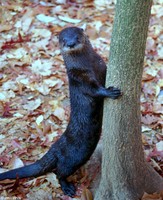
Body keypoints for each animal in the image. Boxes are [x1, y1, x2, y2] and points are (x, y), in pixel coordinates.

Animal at [0, 27, 121, 197]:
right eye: (64, 40)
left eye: (76, 37)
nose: (70, 43)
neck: (90, 66)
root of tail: (55, 150)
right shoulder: (79, 77)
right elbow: (94, 89)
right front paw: (110, 92)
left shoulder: (101, 66)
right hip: (73, 158)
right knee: (59, 172)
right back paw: (67, 188)